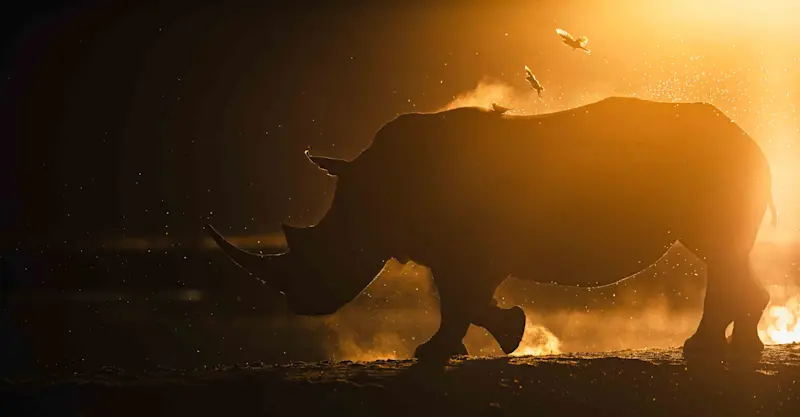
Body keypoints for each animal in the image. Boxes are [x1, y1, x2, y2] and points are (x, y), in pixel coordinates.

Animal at [206, 97, 777, 363]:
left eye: (323, 251)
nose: (300, 306)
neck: (371, 194)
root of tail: (750, 137)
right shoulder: (448, 248)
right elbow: (454, 297)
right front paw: (461, 345)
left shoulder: (478, 247)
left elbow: (465, 297)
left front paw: (490, 338)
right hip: (723, 168)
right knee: (726, 254)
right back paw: (741, 349)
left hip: (716, 165)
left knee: (719, 252)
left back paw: (703, 349)